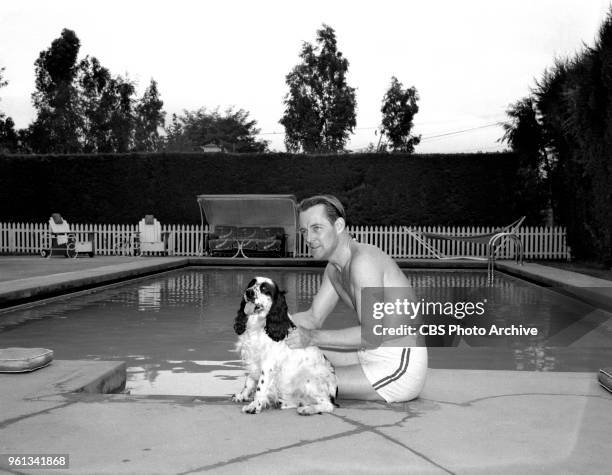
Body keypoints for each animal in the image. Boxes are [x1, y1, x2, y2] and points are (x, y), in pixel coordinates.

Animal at [232, 278, 338, 414]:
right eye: (251, 284)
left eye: (264, 289)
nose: (249, 292)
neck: (260, 325)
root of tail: (334, 392)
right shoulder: (252, 359)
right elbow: (249, 381)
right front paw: (242, 395)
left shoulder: (268, 364)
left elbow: (260, 387)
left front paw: (255, 405)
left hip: (307, 379)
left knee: (328, 405)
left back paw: (307, 409)